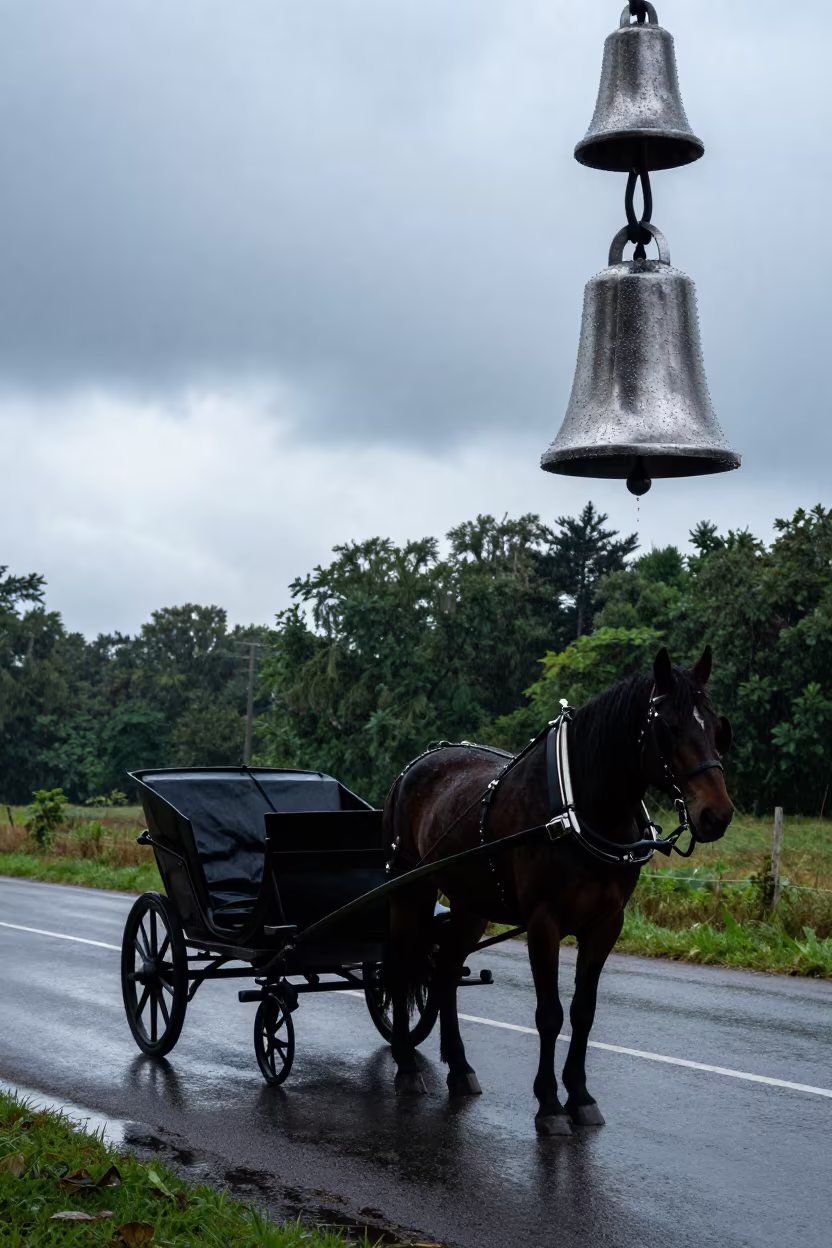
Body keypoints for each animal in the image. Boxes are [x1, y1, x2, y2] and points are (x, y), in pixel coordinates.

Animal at [382, 646, 734, 1135]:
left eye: (717, 726)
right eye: (669, 726)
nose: (717, 814)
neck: (582, 808)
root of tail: (413, 768)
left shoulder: (606, 923)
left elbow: (583, 1011)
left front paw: (580, 1096)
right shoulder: (543, 922)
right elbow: (549, 1015)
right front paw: (549, 1104)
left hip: (472, 904)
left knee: (447, 971)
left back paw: (459, 1067)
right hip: (409, 890)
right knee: (399, 969)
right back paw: (406, 1067)